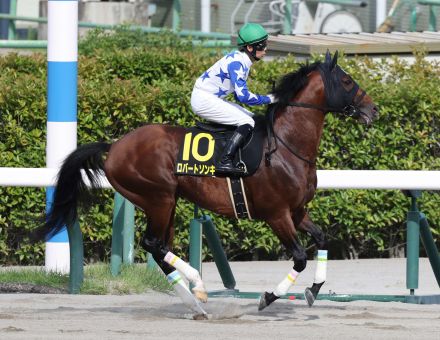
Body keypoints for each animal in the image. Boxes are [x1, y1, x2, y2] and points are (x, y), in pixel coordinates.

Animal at [33, 50, 378, 318]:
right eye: (347, 81)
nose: (373, 109)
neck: (286, 146)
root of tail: (115, 146)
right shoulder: (276, 214)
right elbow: (300, 257)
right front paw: (268, 297)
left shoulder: (297, 211)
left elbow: (321, 239)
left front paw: (314, 290)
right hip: (158, 197)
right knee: (153, 244)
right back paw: (197, 291)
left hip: (166, 201)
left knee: (160, 248)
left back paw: (195, 298)